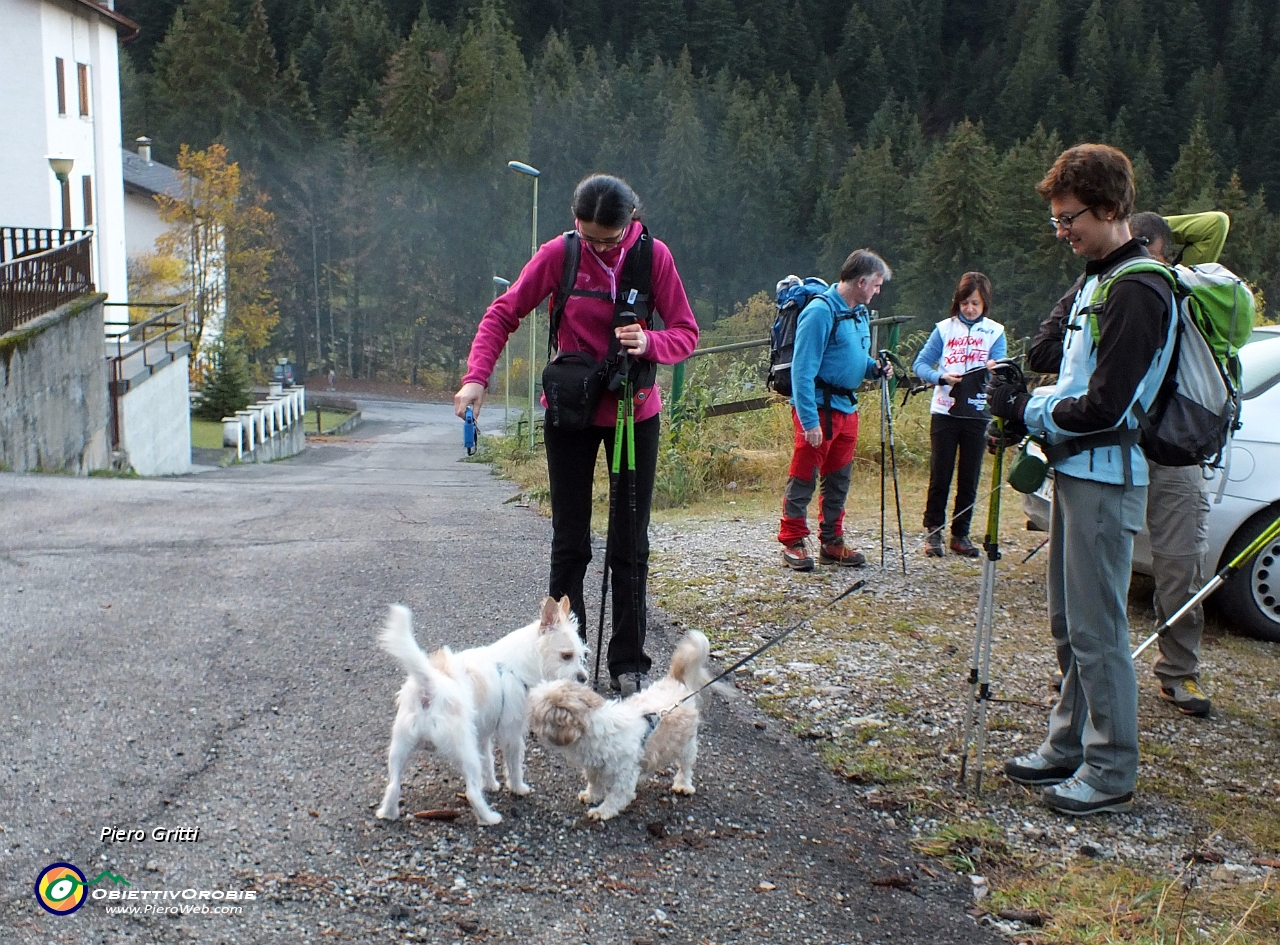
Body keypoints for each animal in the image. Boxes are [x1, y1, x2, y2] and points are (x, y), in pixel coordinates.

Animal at [373, 596, 586, 824]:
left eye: (582, 655)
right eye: (566, 656)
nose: (583, 678)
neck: (516, 666)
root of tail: (429, 687)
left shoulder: (483, 734)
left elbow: (488, 761)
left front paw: (491, 784)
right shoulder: (511, 734)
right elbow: (514, 765)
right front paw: (518, 788)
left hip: (400, 749)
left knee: (393, 786)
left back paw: (388, 813)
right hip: (465, 753)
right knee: (472, 793)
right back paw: (490, 818)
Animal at [524, 624, 716, 819]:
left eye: (536, 713)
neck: (594, 726)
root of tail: (674, 682)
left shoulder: (623, 775)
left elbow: (616, 796)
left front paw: (602, 811)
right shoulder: (594, 767)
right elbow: (594, 784)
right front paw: (591, 796)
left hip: (686, 745)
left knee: (685, 767)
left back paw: (683, 785)